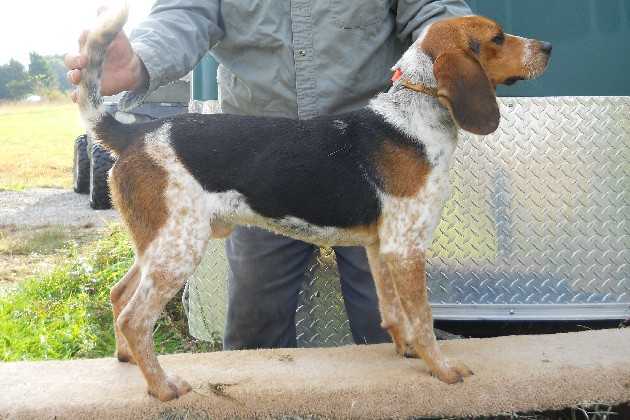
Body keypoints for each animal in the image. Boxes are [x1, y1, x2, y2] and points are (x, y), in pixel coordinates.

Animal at [79, 6, 552, 400]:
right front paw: (442, 369)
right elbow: (423, 319)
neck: (414, 115)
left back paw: (127, 360)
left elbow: (393, 312)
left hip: (160, 244)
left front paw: (406, 352)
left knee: (120, 296)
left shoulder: (382, 247)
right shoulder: (408, 248)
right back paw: (163, 387)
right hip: (178, 249)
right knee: (135, 318)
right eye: (497, 37)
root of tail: (134, 133)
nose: (547, 47)